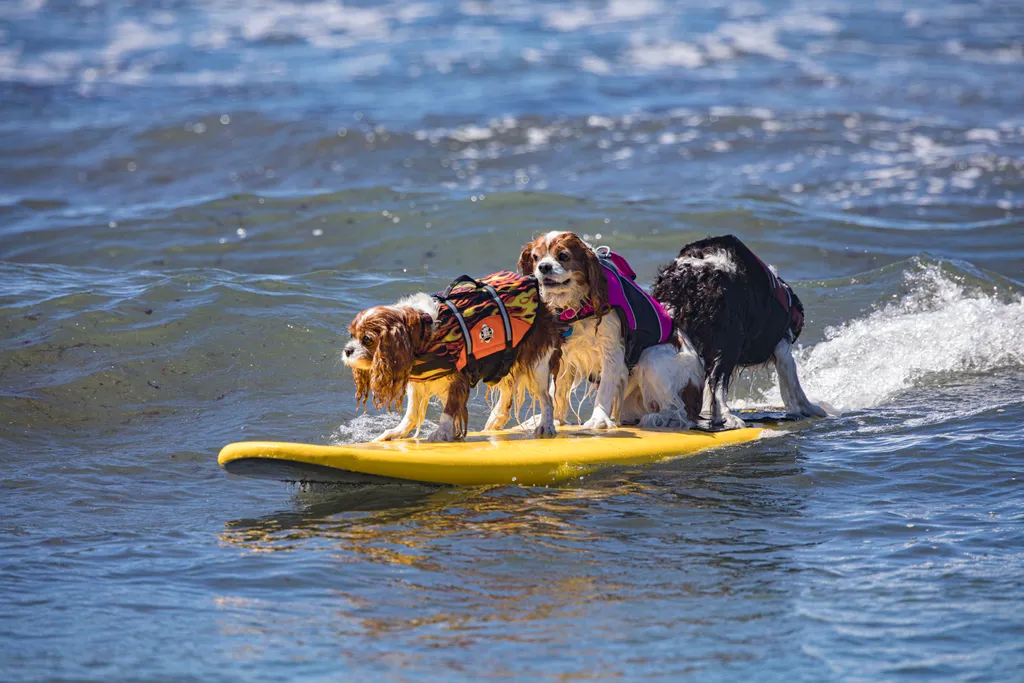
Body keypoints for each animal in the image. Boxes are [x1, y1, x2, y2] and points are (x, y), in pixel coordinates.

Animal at [344, 278, 561, 444]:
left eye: (367, 339)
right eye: (352, 335)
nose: (347, 350)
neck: (424, 331)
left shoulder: (458, 378)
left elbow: (449, 410)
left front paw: (442, 432)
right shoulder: (420, 381)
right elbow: (411, 413)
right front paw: (396, 433)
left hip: (536, 366)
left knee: (547, 399)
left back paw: (545, 425)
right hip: (503, 363)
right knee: (508, 392)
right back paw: (496, 421)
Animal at [509, 232, 708, 430]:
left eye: (563, 256)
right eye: (536, 257)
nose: (543, 267)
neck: (576, 305)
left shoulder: (612, 353)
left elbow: (605, 388)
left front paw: (598, 418)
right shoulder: (563, 355)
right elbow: (556, 391)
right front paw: (553, 420)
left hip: (653, 357)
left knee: (681, 412)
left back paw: (659, 418)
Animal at [651, 235, 827, 428]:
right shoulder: (781, 345)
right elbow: (793, 383)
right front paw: (811, 408)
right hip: (730, 339)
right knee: (718, 382)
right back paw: (728, 417)